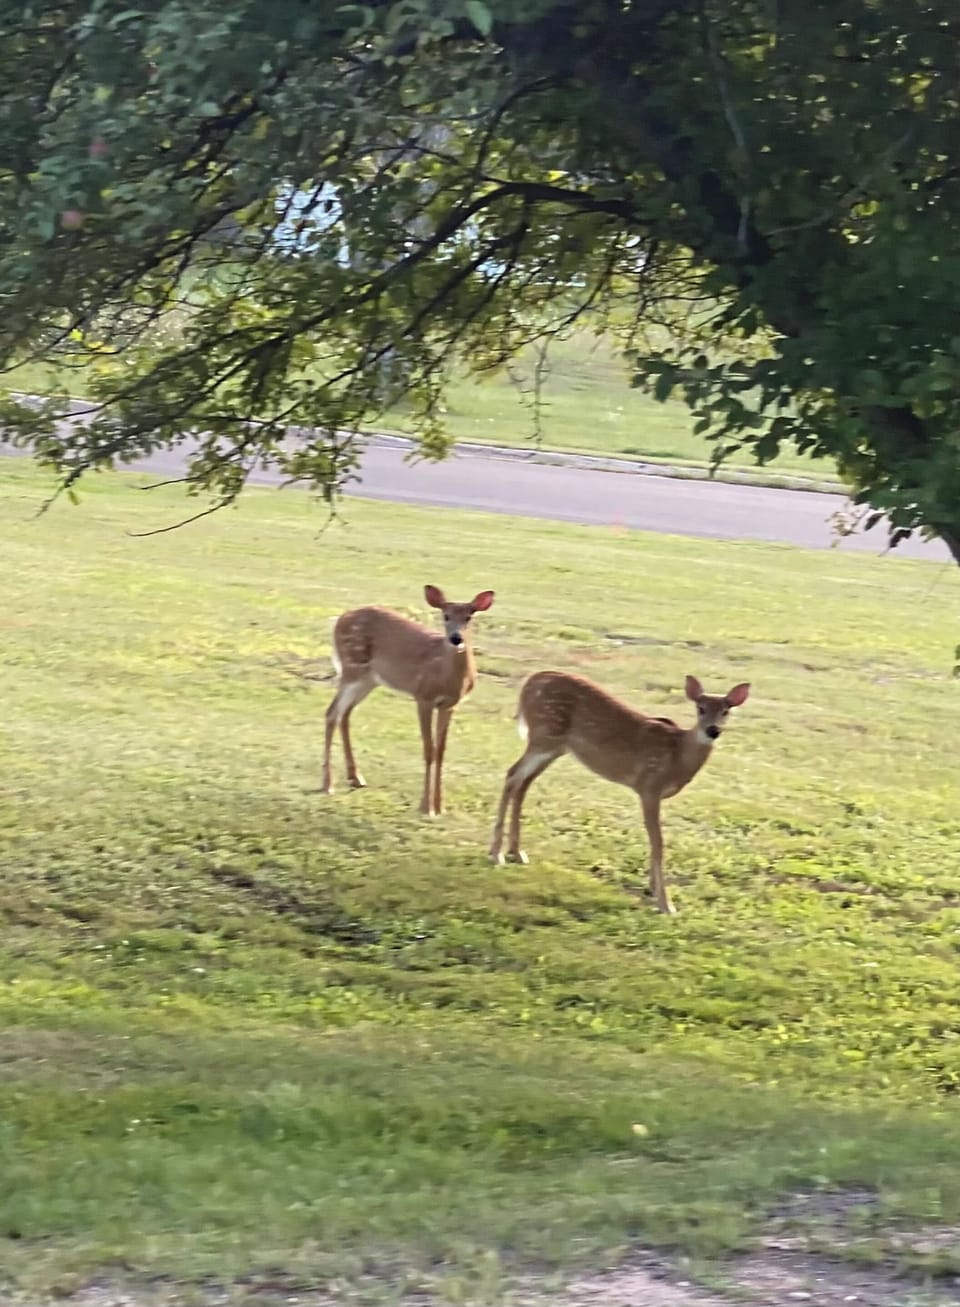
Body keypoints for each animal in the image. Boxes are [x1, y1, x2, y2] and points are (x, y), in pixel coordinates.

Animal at [322, 584, 495, 815]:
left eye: (469, 616)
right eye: (446, 615)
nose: (456, 638)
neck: (446, 676)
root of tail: (340, 618)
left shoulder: (450, 705)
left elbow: (441, 751)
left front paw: (440, 807)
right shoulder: (423, 697)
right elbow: (429, 750)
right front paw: (426, 807)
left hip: (369, 679)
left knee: (345, 713)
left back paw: (356, 778)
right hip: (352, 668)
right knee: (332, 712)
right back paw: (327, 784)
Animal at [489, 671, 750, 914]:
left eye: (726, 710)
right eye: (700, 708)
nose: (712, 731)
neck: (677, 756)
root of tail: (532, 679)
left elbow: (654, 842)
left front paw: (652, 889)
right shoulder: (649, 787)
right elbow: (658, 843)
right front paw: (666, 904)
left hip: (554, 747)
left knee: (523, 783)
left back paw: (516, 852)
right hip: (545, 736)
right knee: (512, 775)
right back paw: (496, 854)